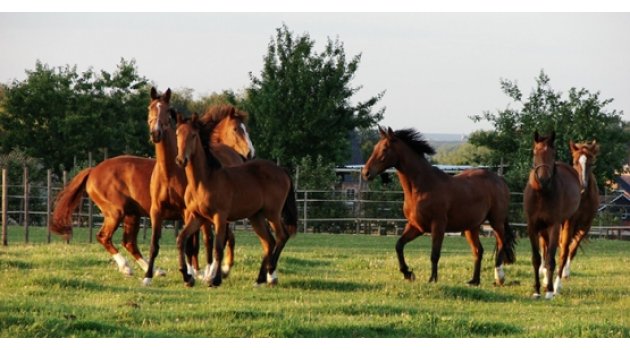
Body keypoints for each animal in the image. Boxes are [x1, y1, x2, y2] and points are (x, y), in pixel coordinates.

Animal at [143, 87, 254, 288]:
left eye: (167, 110)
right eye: (151, 108)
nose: (156, 133)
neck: (169, 171)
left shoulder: (188, 211)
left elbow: (192, 244)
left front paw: (192, 274)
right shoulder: (156, 210)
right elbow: (155, 244)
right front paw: (148, 276)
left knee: (215, 239)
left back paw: (213, 271)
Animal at [175, 113, 298, 288]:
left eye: (193, 135)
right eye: (177, 134)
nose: (181, 160)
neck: (204, 180)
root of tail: (281, 170)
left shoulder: (219, 217)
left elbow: (218, 247)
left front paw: (214, 279)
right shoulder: (197, 217)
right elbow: (181, 239)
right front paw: (187, 277)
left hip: (272, 213)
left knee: (282, 236)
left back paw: (270, 272)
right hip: (256, 217)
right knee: (269, 242)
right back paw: (259, 279)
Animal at [360, 127, 520, 286]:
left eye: (385, 149)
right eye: (375, 148)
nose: (366, 173)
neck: (422, 187)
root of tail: (500, 180)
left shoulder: (438, 225)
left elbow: (434, 254)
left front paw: (432, 279)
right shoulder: (416, 226)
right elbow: (399, 245)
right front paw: (408, 273)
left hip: (496, 221)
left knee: (502, 243)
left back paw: (499, 277)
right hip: (471, 227)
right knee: (478, 251)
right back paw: (474, 281)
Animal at [524, 130, 584, 300]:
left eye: (553, 153)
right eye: (535, 152)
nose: (543, 179)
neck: (542, 194)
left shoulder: (554, 226)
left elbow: (551, 259)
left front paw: (549, 291)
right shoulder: (532, 226)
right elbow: (536, 258)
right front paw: (537, 290)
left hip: (567, 223)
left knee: (563, 253)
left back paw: (555, 286)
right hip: (543, 229)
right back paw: (545, 281)